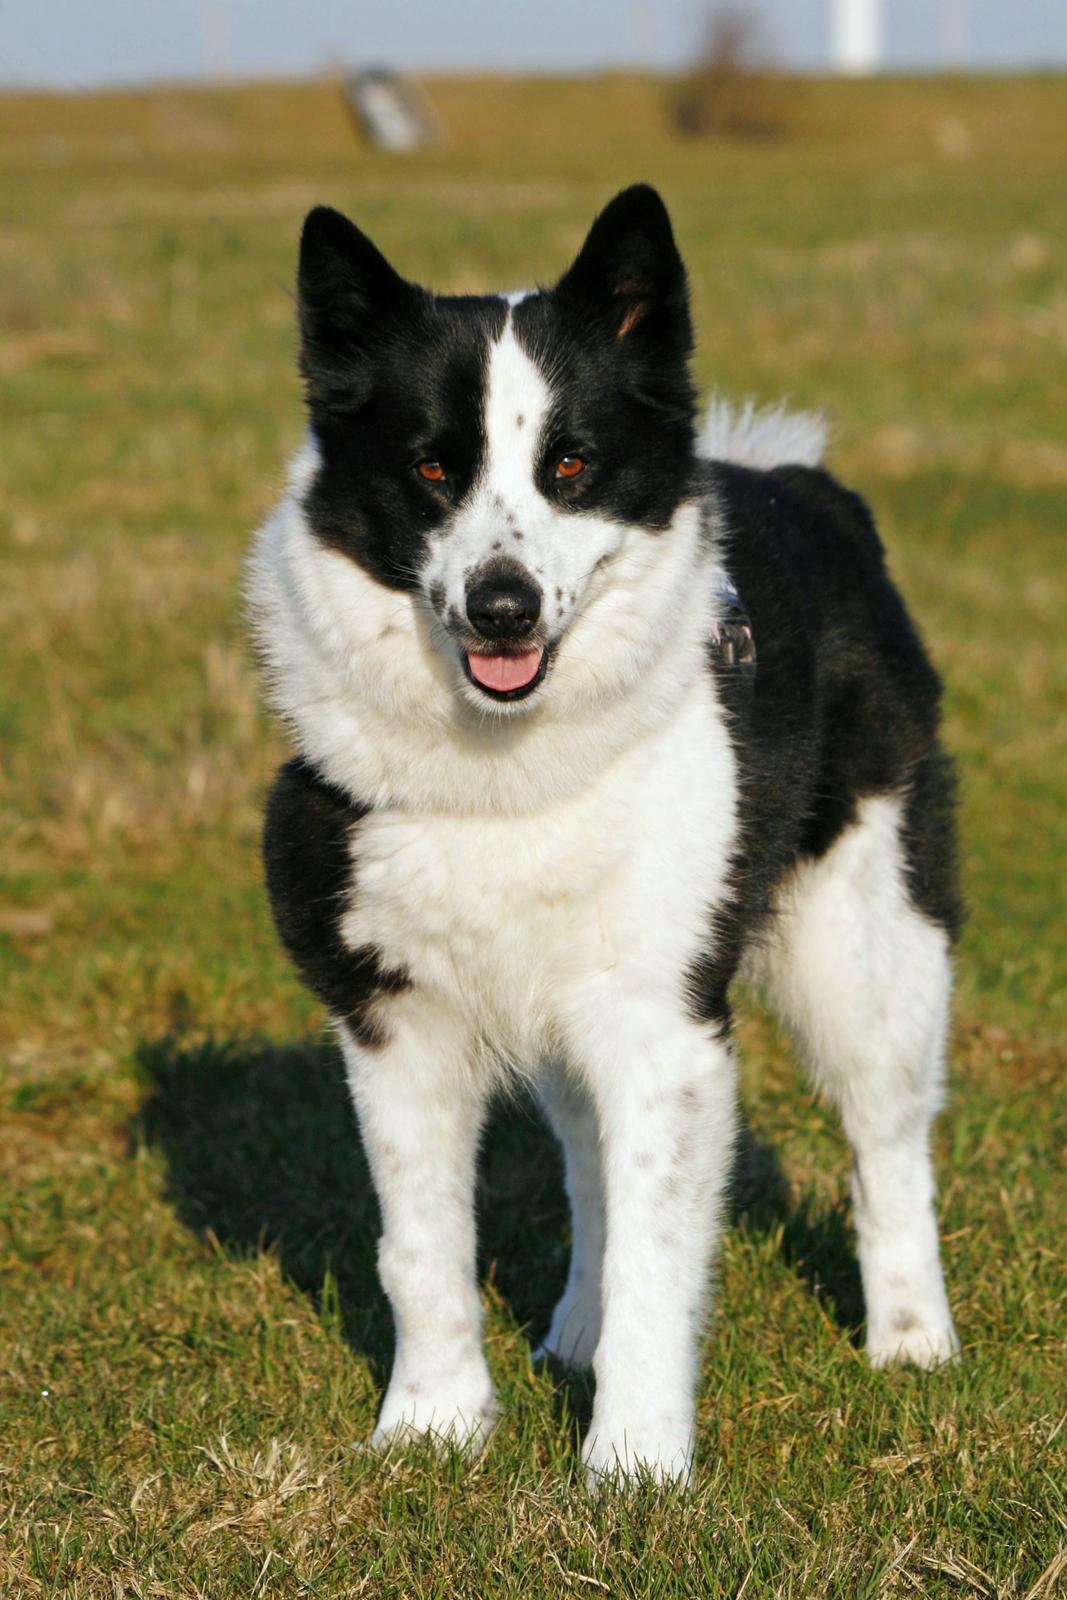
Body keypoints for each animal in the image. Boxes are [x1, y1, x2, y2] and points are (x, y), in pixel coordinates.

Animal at [246, 187, 966, 1484]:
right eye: (432, 468)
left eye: (569, 465)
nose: (502, 606)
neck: (505, 769)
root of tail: (808, 485)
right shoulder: (395, 1019)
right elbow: (418, 1248)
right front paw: (431, 1431)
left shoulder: (662, 1023)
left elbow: (656, 1252)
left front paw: (633, 1468)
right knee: (588, 1161)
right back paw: (570, 1336)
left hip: (866, 944)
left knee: (886, 1137)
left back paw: (908, 1341)